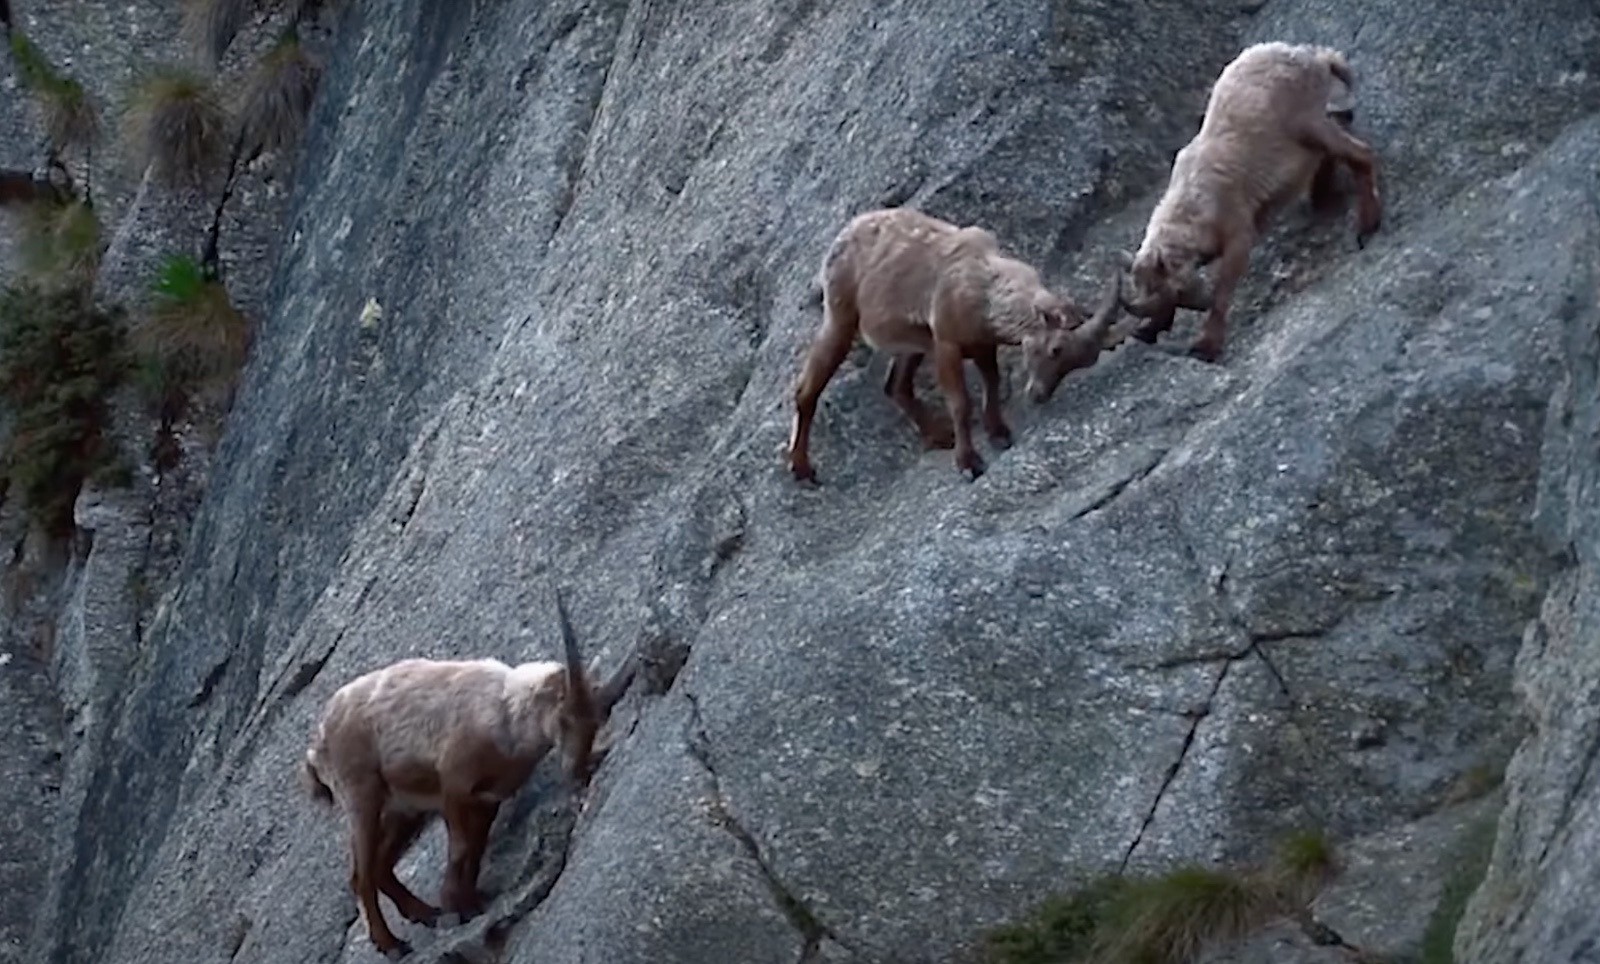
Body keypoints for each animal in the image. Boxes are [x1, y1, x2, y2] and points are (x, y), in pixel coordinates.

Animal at [302, 591, 630, 958]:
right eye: (565, 719)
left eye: (596, 721)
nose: (578, 768)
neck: (505, 716)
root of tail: (318, 744)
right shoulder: (453, 786)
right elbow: (460, 846)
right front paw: (454, 905)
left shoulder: (488, 798)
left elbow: (476, 846)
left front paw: (470, 902)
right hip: (362, 795)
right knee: (360, 875)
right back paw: (392, 943)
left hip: (405, 809)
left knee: (380, 866)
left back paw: (424, 914)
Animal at [786, 207, 1126, 483]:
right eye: (1056, 349)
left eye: (1079, 362)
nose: (1039, 395)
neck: (987, 290)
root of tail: (841, 236)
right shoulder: (947, 341)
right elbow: (960, 402)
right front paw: (968, 463)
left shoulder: (980, 341)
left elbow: (992, 381)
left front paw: (998, 432)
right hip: (841, 317)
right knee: (806, 389)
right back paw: (801, 467)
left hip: (914, 342)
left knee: (896, 385)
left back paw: (938, 435)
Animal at [1117, 41, 1382, 362]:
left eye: (1173, 291)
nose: (1199, 300)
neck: (1194, 202)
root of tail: (1314, 57)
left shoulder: (1237, 229)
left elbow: (1224, 286)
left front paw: (1206, 344)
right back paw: (1323, 195)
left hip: (1309, 122)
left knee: (1359, 154)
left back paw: (1367, 222)